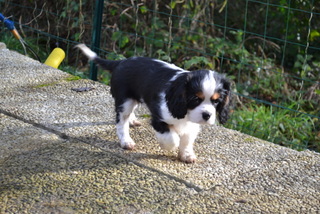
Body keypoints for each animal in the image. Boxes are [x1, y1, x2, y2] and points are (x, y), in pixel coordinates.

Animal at [75, 44, 230, 163]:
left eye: (216, 101)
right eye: (195, 99)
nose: (207, 115)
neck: (185, 114)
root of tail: (121, 62)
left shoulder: (192, 124)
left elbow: (187, 139)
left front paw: (186, 154)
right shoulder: (159, 117)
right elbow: (172, 138)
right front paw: (169, 146)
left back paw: (132, 120)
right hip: (125, 101)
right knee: (121, 122)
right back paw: (126, 141)